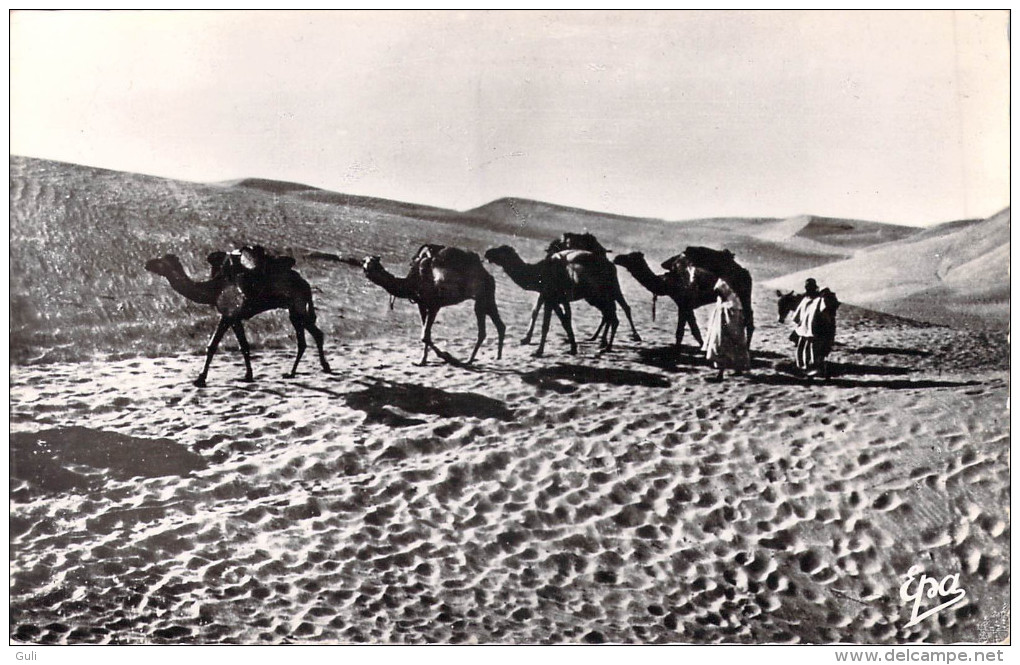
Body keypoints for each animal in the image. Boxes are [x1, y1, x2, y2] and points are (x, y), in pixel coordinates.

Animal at [143, 250, 330, 387]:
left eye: (161, 261)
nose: (147, 264)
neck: (214, 289)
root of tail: (305, 283)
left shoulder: (229, 314)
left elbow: (220, 346)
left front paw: (201, 379)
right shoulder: (232, 317)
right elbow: (237, 346)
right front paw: (247, 375)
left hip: (297, 307)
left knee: (307, 338)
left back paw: (294, 372)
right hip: (295, 309)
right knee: (313, 335)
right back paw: (314, 369)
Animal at [363, 245, 505, 367]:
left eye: (372, 262)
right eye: (364, 262)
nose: (365, 269)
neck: (412, 282)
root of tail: (487, 274)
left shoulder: (434, 305)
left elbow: (425, 336)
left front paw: (448, 356)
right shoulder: (422, 305)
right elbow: (425, 335)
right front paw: (422, 361)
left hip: (482, 298)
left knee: (483, 331)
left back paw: (468, 361)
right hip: (485, 299)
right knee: (498, 325)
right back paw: (495, 356)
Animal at [485, 245, 620, 359]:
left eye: (501, 250)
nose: (487, 253)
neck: (538, 273)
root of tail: (611, 267)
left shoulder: (551, 298)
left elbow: (548, 324)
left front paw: (538, 351)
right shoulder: (549, 296)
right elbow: (555, 318)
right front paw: (572, 347)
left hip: (598, 295)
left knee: (612, 316)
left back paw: (606, 347)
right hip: (597, 296)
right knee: (609, 315)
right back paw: (602, 343)